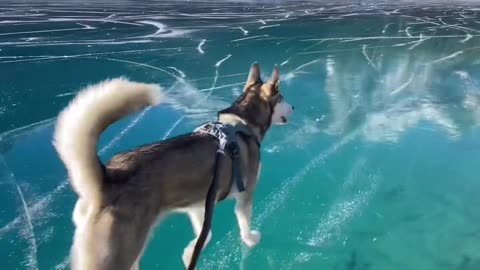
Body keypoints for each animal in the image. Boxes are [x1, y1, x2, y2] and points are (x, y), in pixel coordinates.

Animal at [52, 62, 292, 268]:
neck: (241, 123)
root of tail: (106, 179)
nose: (294, 107)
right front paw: (250, 239)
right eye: (282, 97)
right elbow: (243, 223)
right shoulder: (245, 192)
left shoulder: (200, 202)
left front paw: (189, 253)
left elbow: (205, 234)